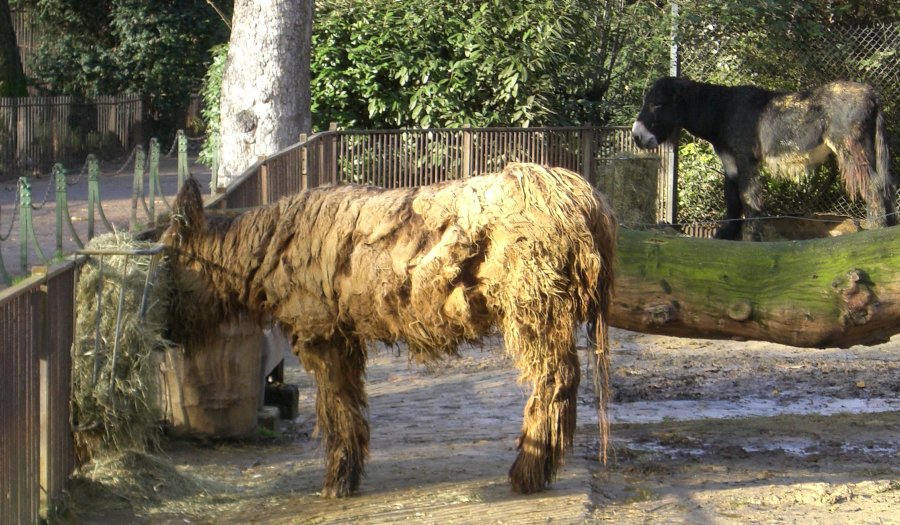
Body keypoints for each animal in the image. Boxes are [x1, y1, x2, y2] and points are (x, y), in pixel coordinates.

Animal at [631, 76, 896, 240]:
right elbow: (732, 200)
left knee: (874, 187)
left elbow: (749, 199)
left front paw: (751, 238)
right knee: (886, 186)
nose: (636, 136)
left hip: (850, 149)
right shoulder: (730, 164)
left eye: (657, 105)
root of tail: (872, 93)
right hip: (871, 149)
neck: (722, 111)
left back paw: (876, 231)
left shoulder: (746, 162)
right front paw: (727, 235)